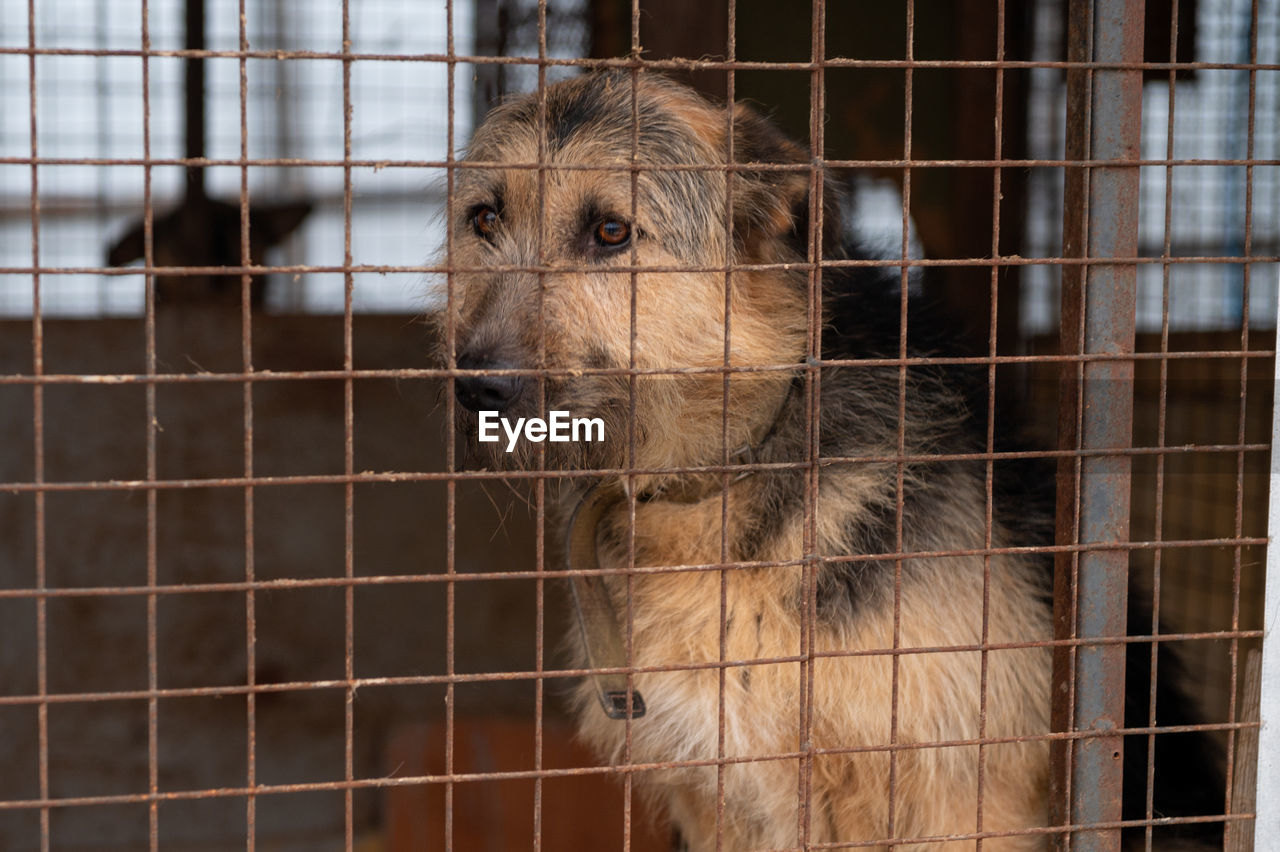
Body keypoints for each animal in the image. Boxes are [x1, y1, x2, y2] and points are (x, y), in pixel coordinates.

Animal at [437, 71, 1218, 849]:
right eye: (484, 220)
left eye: (610, 232)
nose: (475, 385)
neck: (719, 480)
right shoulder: (716, 794)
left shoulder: (966, 794)